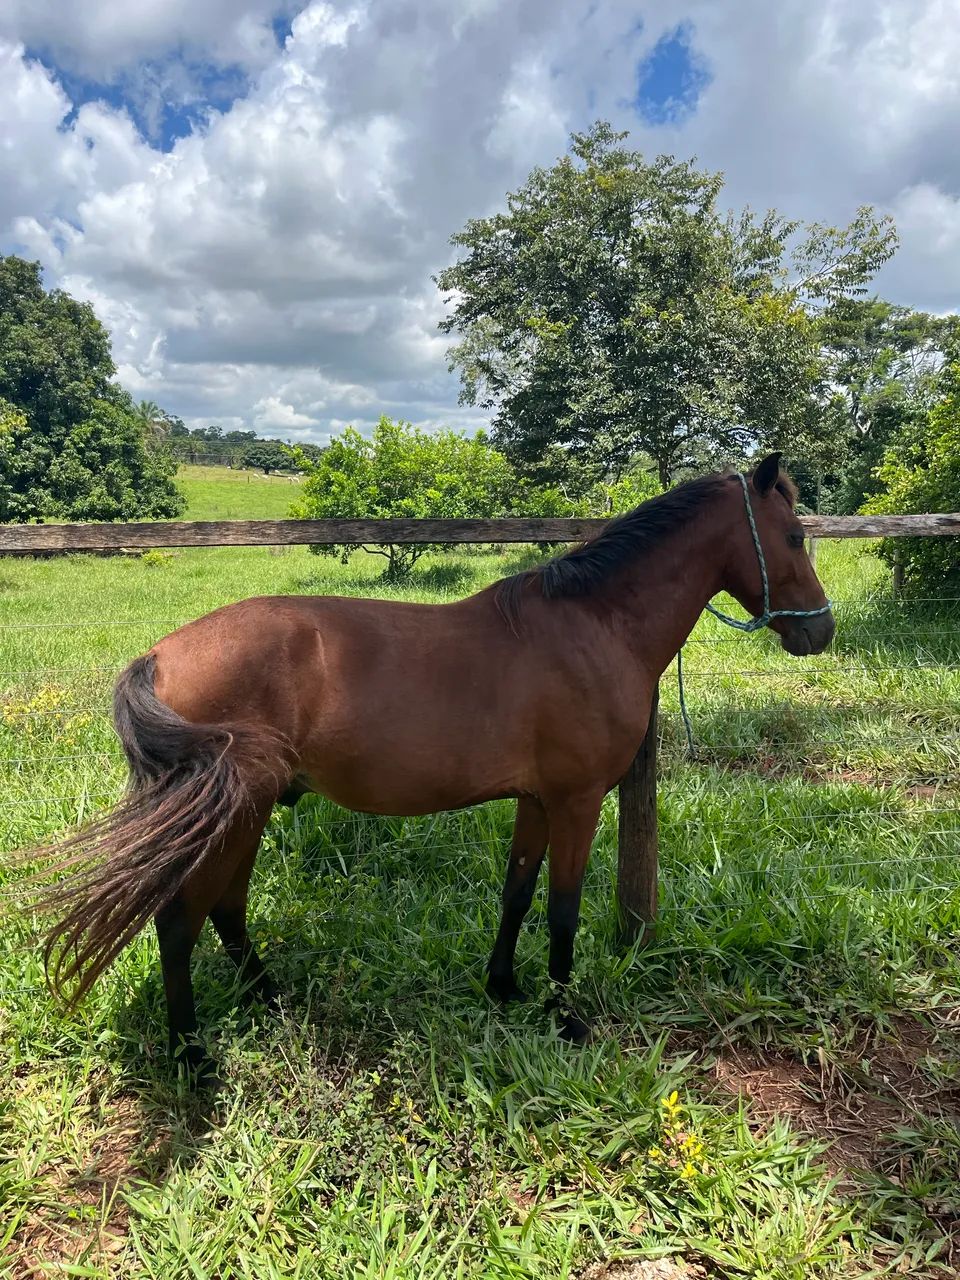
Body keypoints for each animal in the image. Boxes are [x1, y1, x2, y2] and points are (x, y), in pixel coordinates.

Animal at [34, 454, 834, 1073]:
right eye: (795, 535)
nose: (820, 632)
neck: (593, 626)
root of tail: (161, 655)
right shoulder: (576, 801)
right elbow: (563, 909)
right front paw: (566, 1016)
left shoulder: (536, 801)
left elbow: (517, 894)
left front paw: (504, 987)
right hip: (229, 817)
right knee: (180, 922)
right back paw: (192, 1055)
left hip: (246, 815)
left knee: (225, 912)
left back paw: (269, 997)